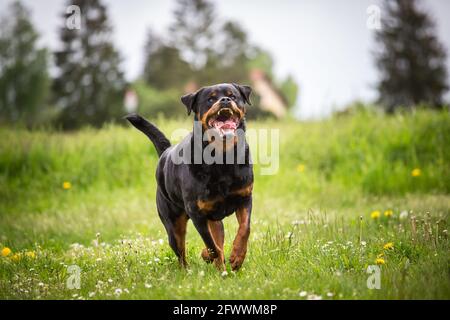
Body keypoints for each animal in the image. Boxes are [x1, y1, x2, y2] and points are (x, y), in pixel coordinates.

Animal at [126, 82, 253, 270]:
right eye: (210, 99)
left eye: (233, 95)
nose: (225, 100)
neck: (222, 158)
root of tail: (165, 153)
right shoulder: (197, 214)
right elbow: (211, 245)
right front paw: (212, 256)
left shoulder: (244, 198)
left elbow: (244, 228)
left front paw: (237, 256)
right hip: (173, 224)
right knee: (181, 251)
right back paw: (188, 270)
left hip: (214, 219)